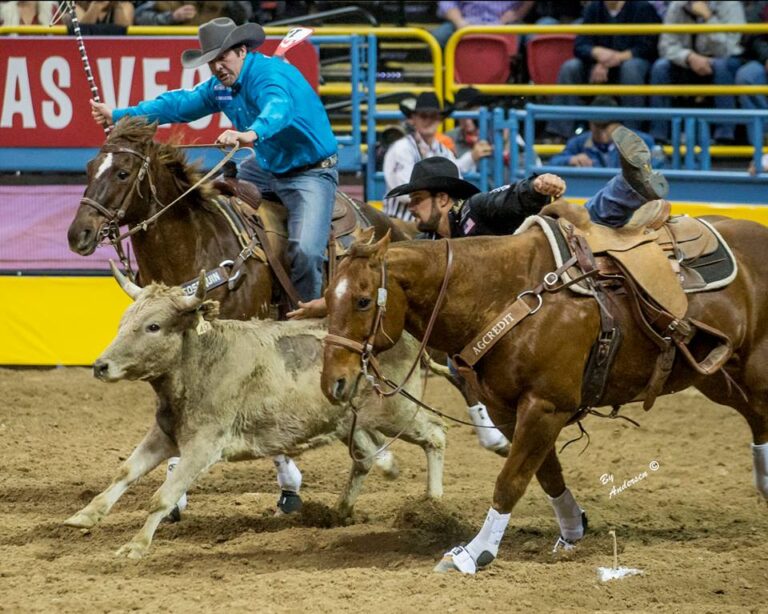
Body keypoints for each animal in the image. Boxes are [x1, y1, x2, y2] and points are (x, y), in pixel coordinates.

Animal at [67, 115, 412, 516]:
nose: (79, 234)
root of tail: (390, 223)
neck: (198, 243)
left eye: (123, 172)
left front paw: (289, 486)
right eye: (89, 167)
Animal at [320, 219, 768, 576]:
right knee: (756, 417)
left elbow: (511, 480)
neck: (507, 294)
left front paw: (474, 553)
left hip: (753, 372)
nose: (333, 384)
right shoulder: (508, 409)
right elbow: (547, 473)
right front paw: (572, 531)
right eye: (326, 298)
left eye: (363, 300)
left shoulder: (545, 406)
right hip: (719, 377)